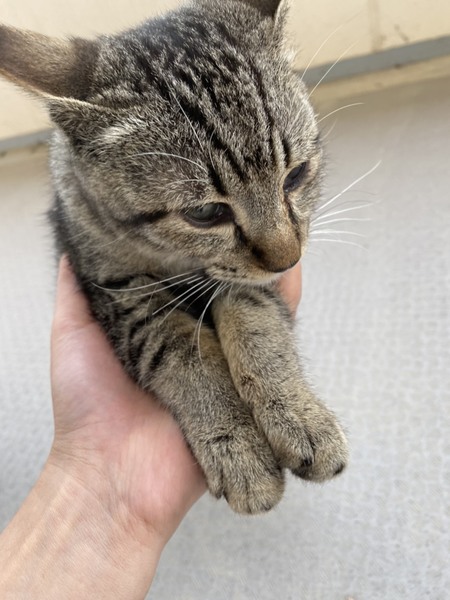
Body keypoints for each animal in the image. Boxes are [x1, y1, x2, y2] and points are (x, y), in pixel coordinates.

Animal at [0, 0, 348, 514]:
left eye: (297, 175)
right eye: (204, 213)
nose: (287, 260)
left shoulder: (250, 279)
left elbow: (253, 315)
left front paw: (298, 414)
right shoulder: (113, 287)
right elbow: (177, 348)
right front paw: (236, 446)